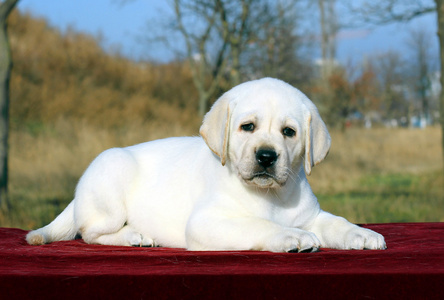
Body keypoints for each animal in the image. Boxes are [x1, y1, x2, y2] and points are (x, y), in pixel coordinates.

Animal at [26, 78, 386, 253]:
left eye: (289, 132)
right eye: (247, 127)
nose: (266, 157)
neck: (270, 196)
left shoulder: (310, 215)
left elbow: (336, 222)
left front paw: (361, 233)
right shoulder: (205, 223)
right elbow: (259, 225)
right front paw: (289, 236)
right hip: (110, 184)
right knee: (89, 234)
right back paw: (134, 235)